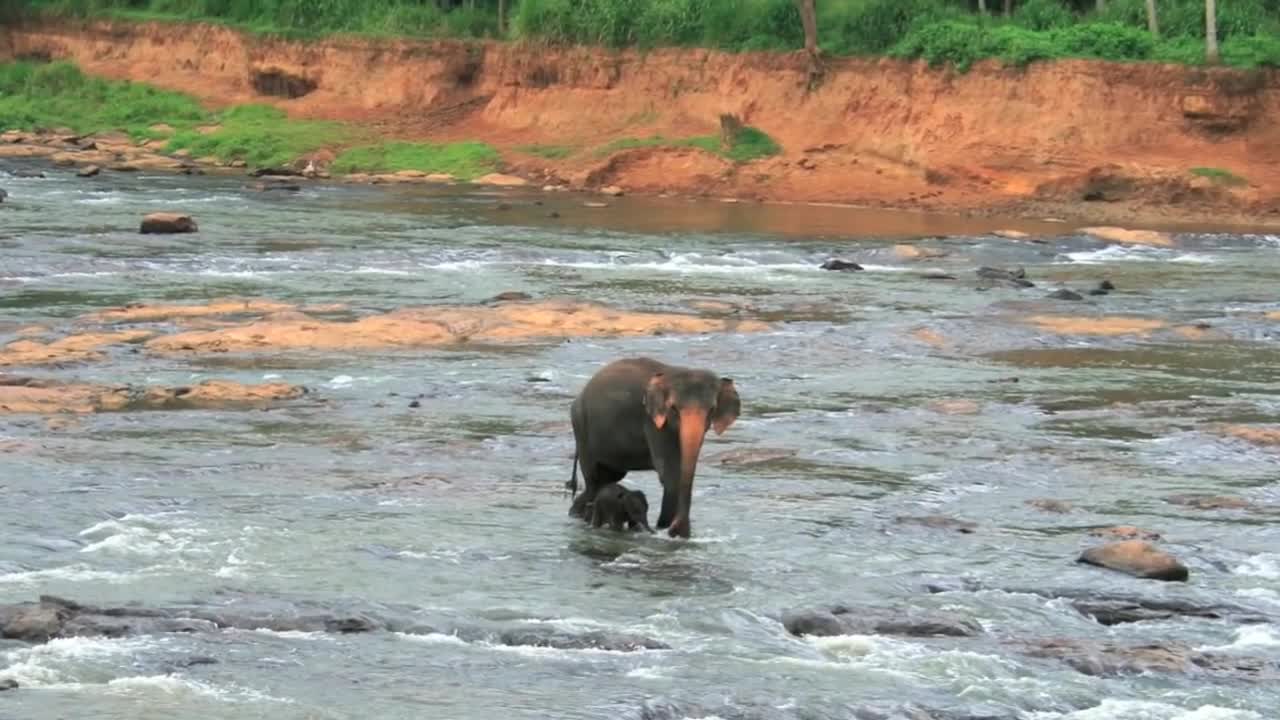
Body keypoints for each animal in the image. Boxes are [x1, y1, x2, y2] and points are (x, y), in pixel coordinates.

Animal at [568, 356, 742, 535]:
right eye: (673, 409)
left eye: (712, 410)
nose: (677, 531)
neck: (674, 372)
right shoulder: (652, 423)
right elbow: (671, 474)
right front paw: (666, 529)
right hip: (581, 428)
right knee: (594, 480)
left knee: (606, 479)